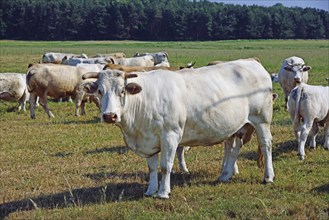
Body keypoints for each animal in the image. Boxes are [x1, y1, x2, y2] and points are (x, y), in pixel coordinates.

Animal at [82, 58, 274, 199]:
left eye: (122, 91)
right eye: (99, 91)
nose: (110, 116)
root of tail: (252, 62)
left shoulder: (170, 135)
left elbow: (165, 166)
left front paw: (163, 192)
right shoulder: (148, 140)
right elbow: (152, 168)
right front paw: (150, 190)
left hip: (261, 119)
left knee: (266, 145)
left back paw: (268, 177)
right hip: (235, 126)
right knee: (233, 148)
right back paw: (225, 175)